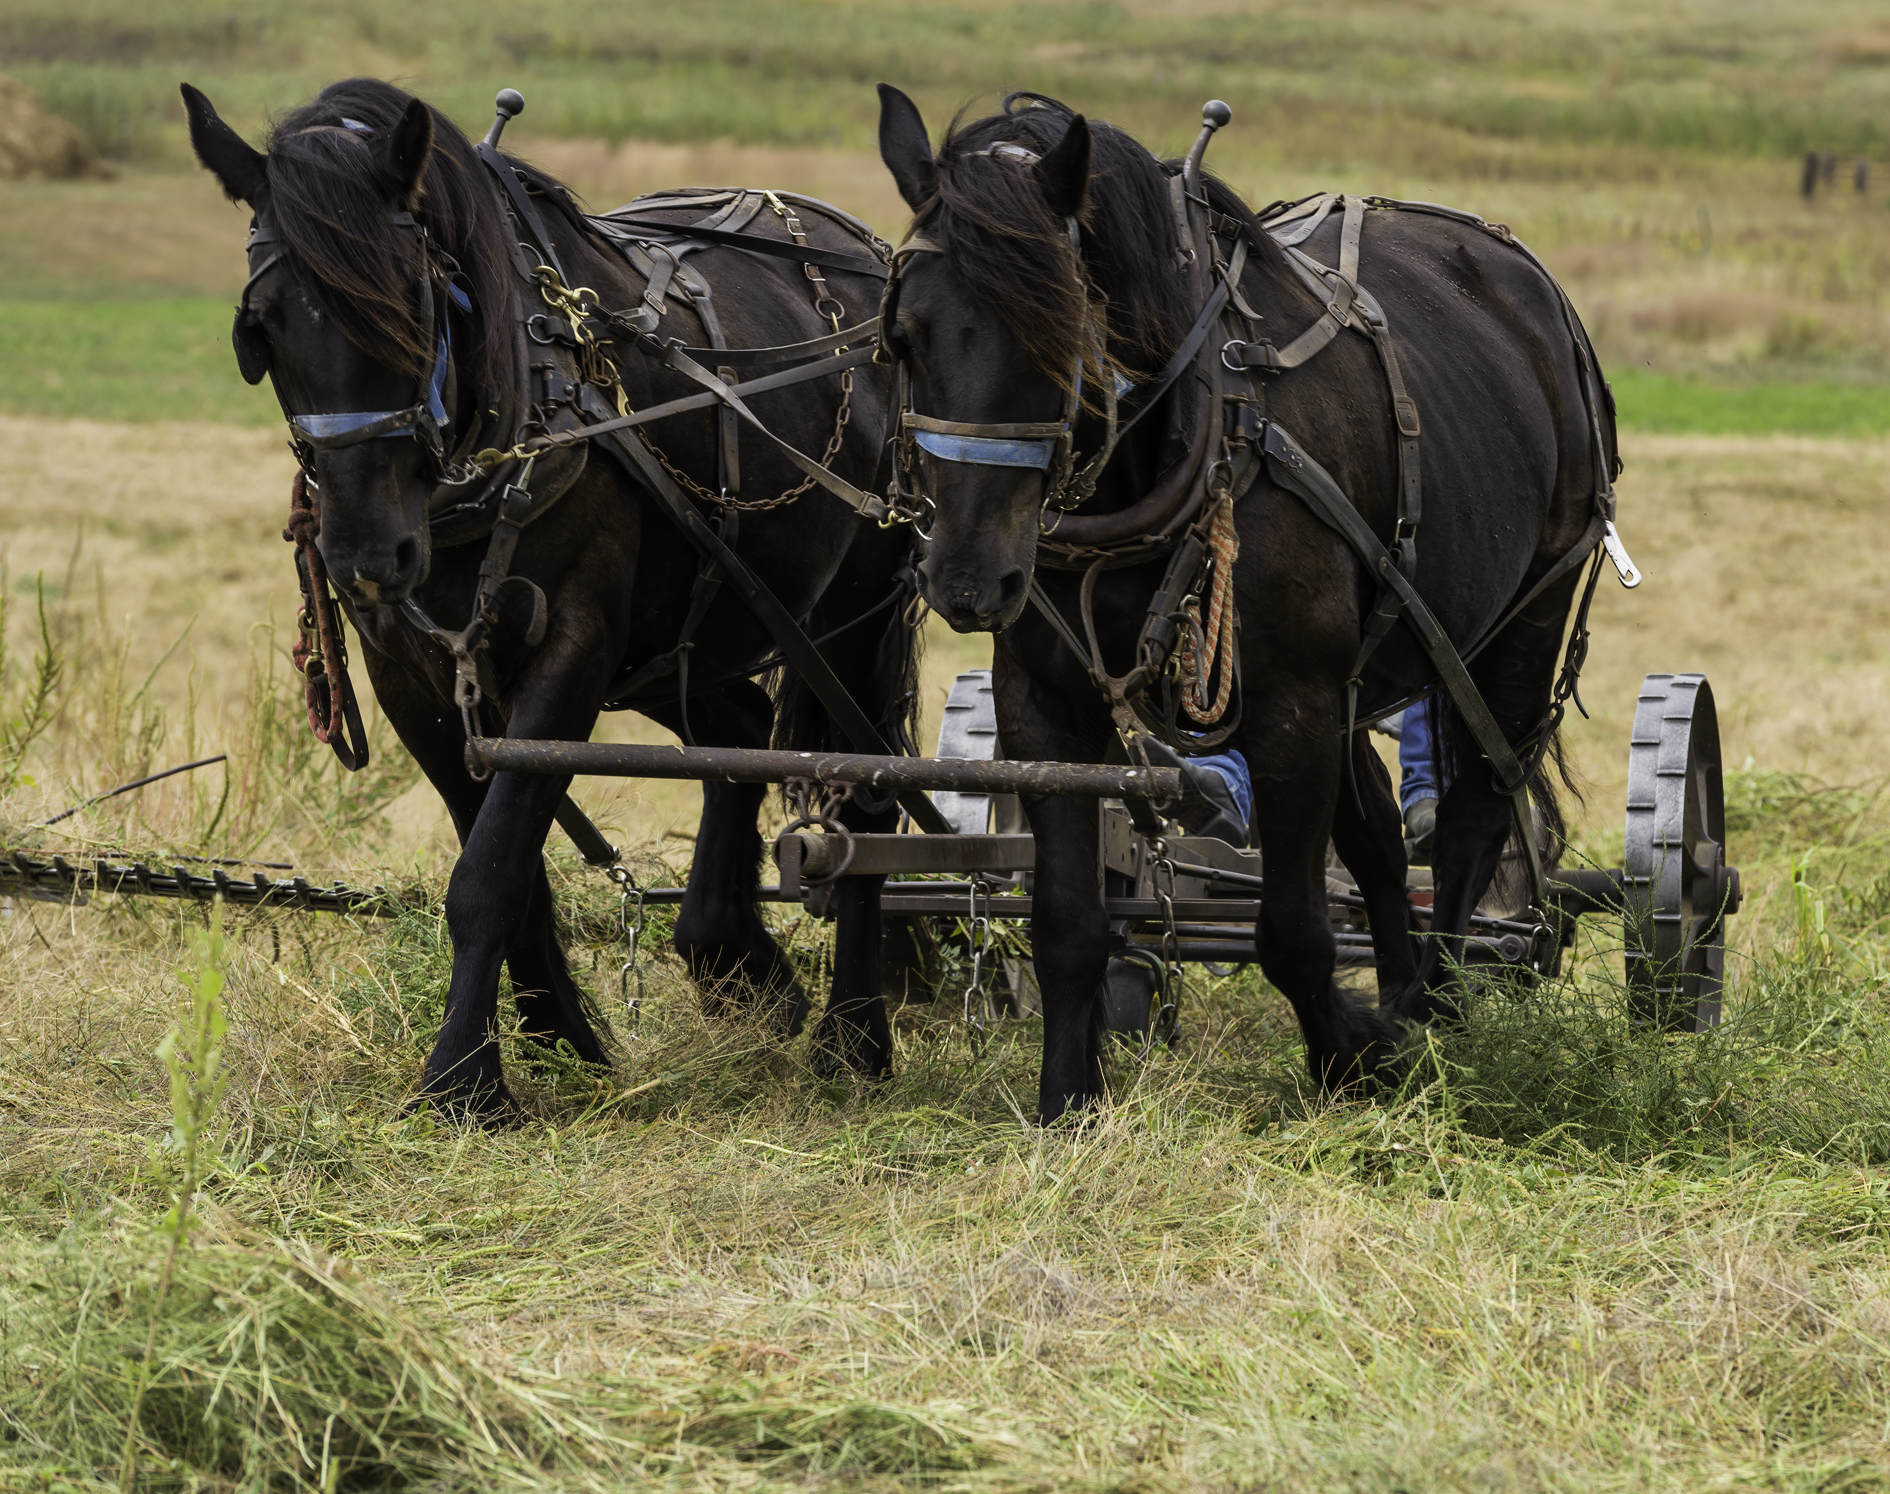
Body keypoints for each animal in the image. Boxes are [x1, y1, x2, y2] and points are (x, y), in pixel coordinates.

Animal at [186, 76, 914, 1119]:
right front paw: (557, 1036)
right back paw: (733, 956)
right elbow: (515, 869)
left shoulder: (572, 651)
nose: (364, 552)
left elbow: (489, 868)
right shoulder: (409, 674)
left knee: (866, 800)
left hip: (851, 615)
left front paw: (462, 1079)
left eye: (414, 307)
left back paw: (853, 1038)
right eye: (266, 325)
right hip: (688, 629)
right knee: (734, 728)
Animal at [873, 90, 1610, 1119]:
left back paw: (1435, 1011)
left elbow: (1292, 931)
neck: (1189, 430)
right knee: (1379, 839)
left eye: (1061, 338)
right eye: (904, 335)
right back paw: (1401, 989)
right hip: (1366, 667)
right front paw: (1068, 1101)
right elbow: (1066, 922)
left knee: (1471, 820)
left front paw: (1356, 1057)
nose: (969, 581)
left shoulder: (1291, 705)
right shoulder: (1042, 706)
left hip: (1520, 626)